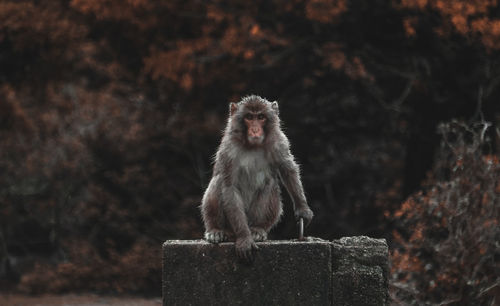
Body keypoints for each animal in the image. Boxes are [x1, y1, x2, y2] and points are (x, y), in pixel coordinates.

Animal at [199, 94, 312, 260]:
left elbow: (287, 169)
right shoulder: (228, 149)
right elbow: (229, 186)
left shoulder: (279, 142)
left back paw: (257, 229)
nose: (255, 129)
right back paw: (216, 230)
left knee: (269, 185)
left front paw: (303, 209)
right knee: (218, 182)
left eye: (260, 117)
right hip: (230, 224)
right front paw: (245, 239)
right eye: (248, 117)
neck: (252, 145)